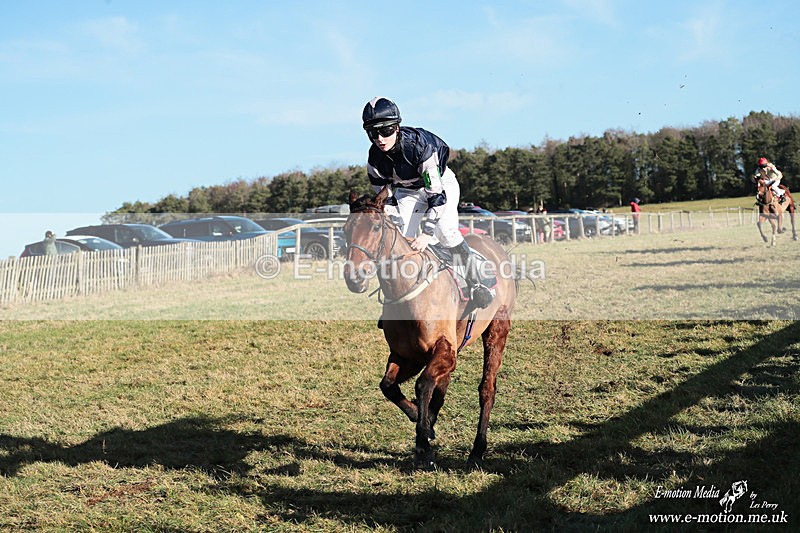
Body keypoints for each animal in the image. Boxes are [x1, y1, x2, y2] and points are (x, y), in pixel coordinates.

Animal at [343, 187, 517, 469]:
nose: (354, 277)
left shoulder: (442, 351)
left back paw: (477, 450)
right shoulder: (406, 355)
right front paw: (420, 418)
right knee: (442, 383)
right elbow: (388, 385)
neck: (406, 291)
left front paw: (423, 445)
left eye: (376, 227)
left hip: (497, 329)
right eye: (346, 229)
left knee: (487, 388)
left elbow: (423, 385)